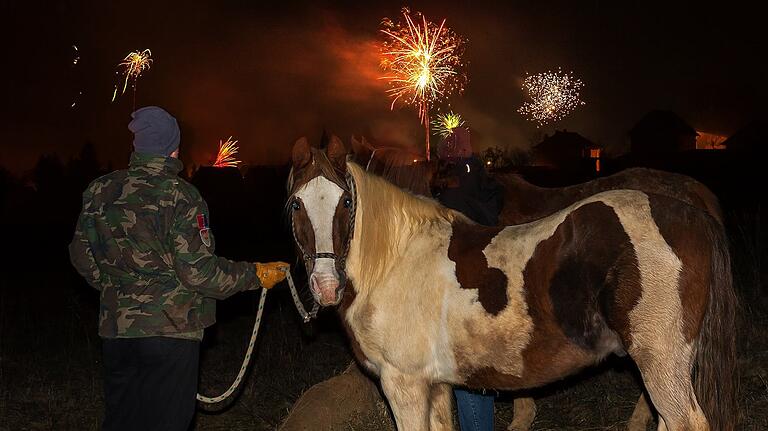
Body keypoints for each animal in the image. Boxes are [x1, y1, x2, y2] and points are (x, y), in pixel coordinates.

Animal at [288, 137, 736, 430]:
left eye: (347, 201)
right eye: (295, 204)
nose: (325, 285)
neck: (395, 258)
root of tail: (692, 211)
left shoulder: (404, 384)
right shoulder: (435, 387)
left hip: (661, 363)